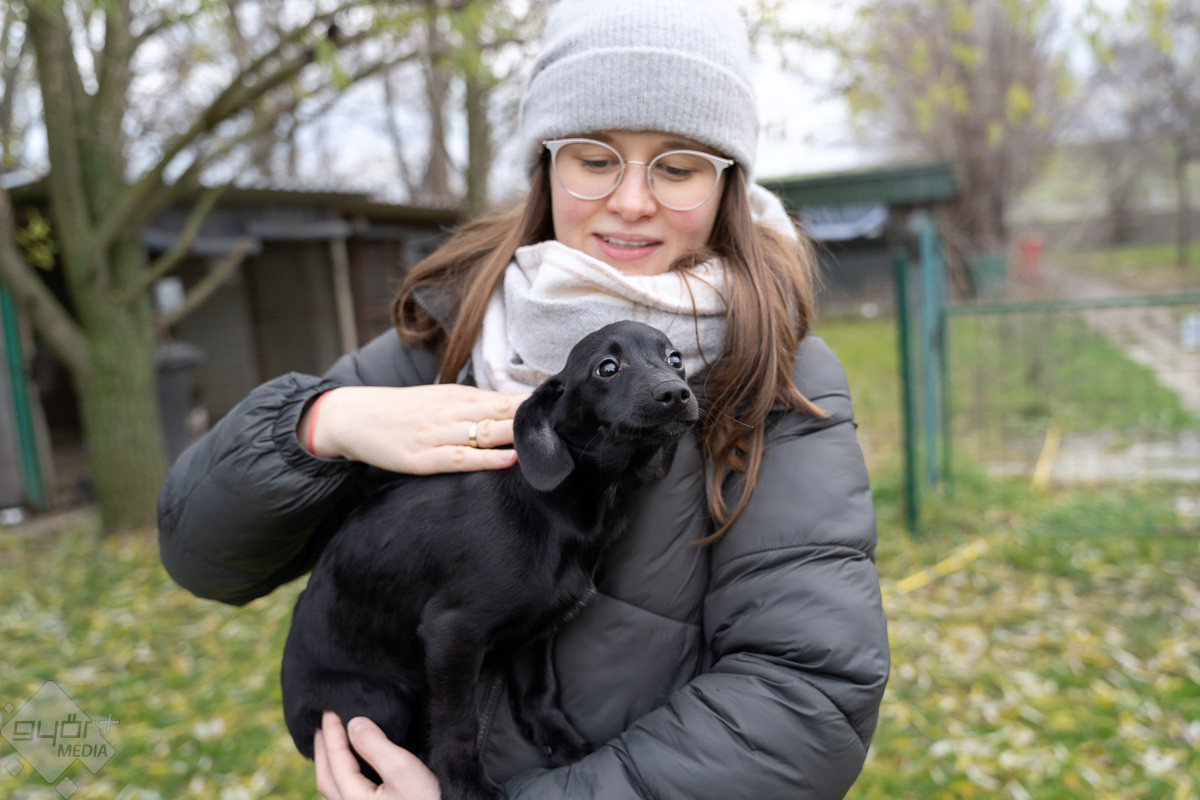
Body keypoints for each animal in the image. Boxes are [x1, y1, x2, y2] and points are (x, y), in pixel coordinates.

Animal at [281, 320, 700, 800]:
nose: (676, 393)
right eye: (607, 368)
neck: (559, 507)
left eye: (675, 359)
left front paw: (559, 740)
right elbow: (457, 721)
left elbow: (538, 689)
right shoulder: (452, 633)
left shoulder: (540, 628)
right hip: (379, 701)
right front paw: (465, 785)